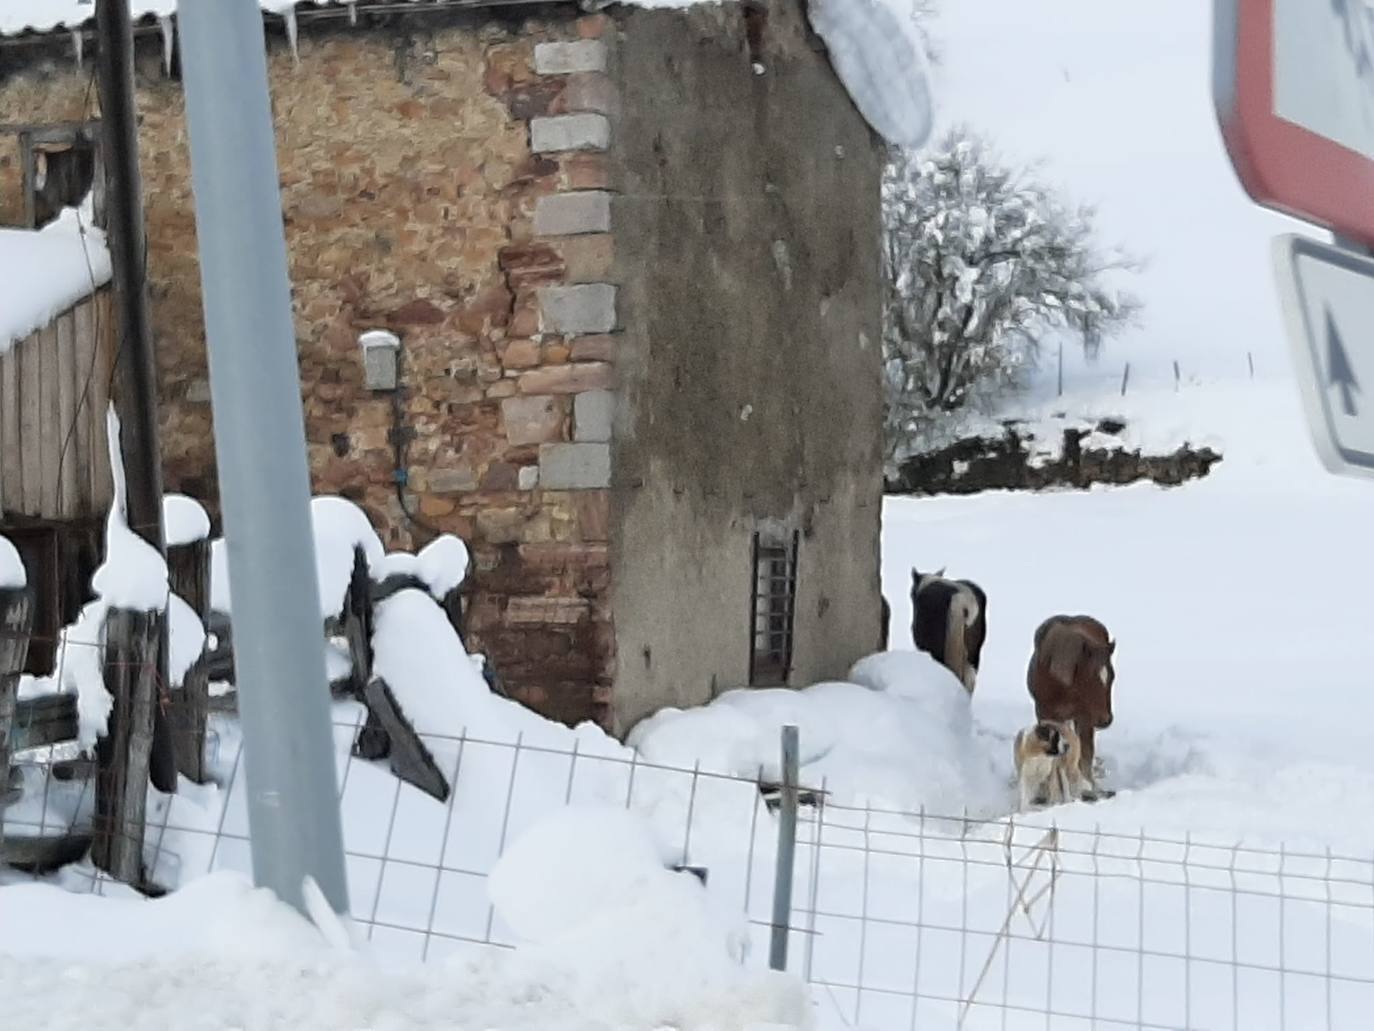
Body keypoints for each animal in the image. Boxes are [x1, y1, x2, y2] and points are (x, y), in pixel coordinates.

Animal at [1033, 613, 1115, 780]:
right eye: (1088, 679)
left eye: (1112, 677)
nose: (1105, 720)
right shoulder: (1045, 715)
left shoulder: (1084, 719)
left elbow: (1085, 757)